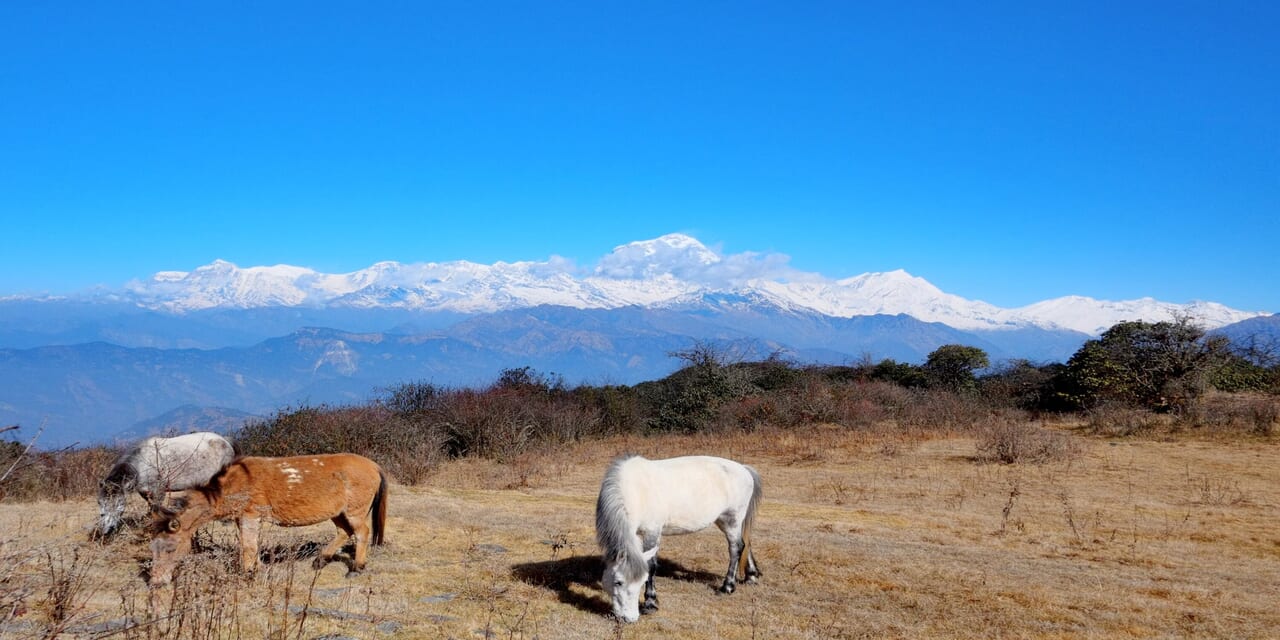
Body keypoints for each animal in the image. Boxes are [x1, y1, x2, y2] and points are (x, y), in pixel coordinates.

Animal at [94, 432, 238, 537]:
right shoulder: (146, 493)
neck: (142, 464)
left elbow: (155, 510)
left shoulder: (159, 491)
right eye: (100, 503)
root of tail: (225, 441)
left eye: (120, 503)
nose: (106, 530)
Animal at [146, 453, 386, 586]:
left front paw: (247, 575)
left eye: (170, 549)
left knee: (361, 533)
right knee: (344, 532)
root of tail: (374, 465)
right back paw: (321, 560)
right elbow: (251, 545)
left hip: (355, 511)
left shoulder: (250, 516)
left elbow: (248, 547)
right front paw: (257, 569)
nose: (156, 583)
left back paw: (356, 568)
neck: (232, 485)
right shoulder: (242, 518)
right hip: (337, 512)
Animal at [596, 453, 762, 622]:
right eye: (618, 582)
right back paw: (751, 576)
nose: (630, 618)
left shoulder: (652, 532)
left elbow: (651, 565)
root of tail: (744, 469)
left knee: (736, 548)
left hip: (731, 521)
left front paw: (650, 603)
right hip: (724, 521)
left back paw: (727, 587)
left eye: (641, 581)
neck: (636, 490)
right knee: (745, 544)